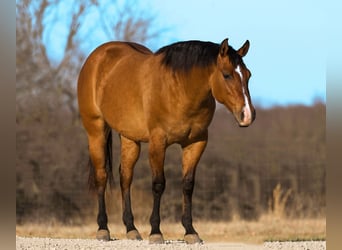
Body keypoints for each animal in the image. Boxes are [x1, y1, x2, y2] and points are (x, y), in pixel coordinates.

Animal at [77, 38, 254, 243]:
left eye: (248, 75)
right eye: (226, 75)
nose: (248, 115)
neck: (180, 89)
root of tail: (97, 56)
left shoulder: (196, 143)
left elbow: (188, 185)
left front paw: (190, 231)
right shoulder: (158, 143)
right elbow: (158, 184)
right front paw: (155, 232)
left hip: (130, 138)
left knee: (125, 177)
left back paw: (131, 229)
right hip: (96, 131)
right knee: (102, 176)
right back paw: (103, 229)